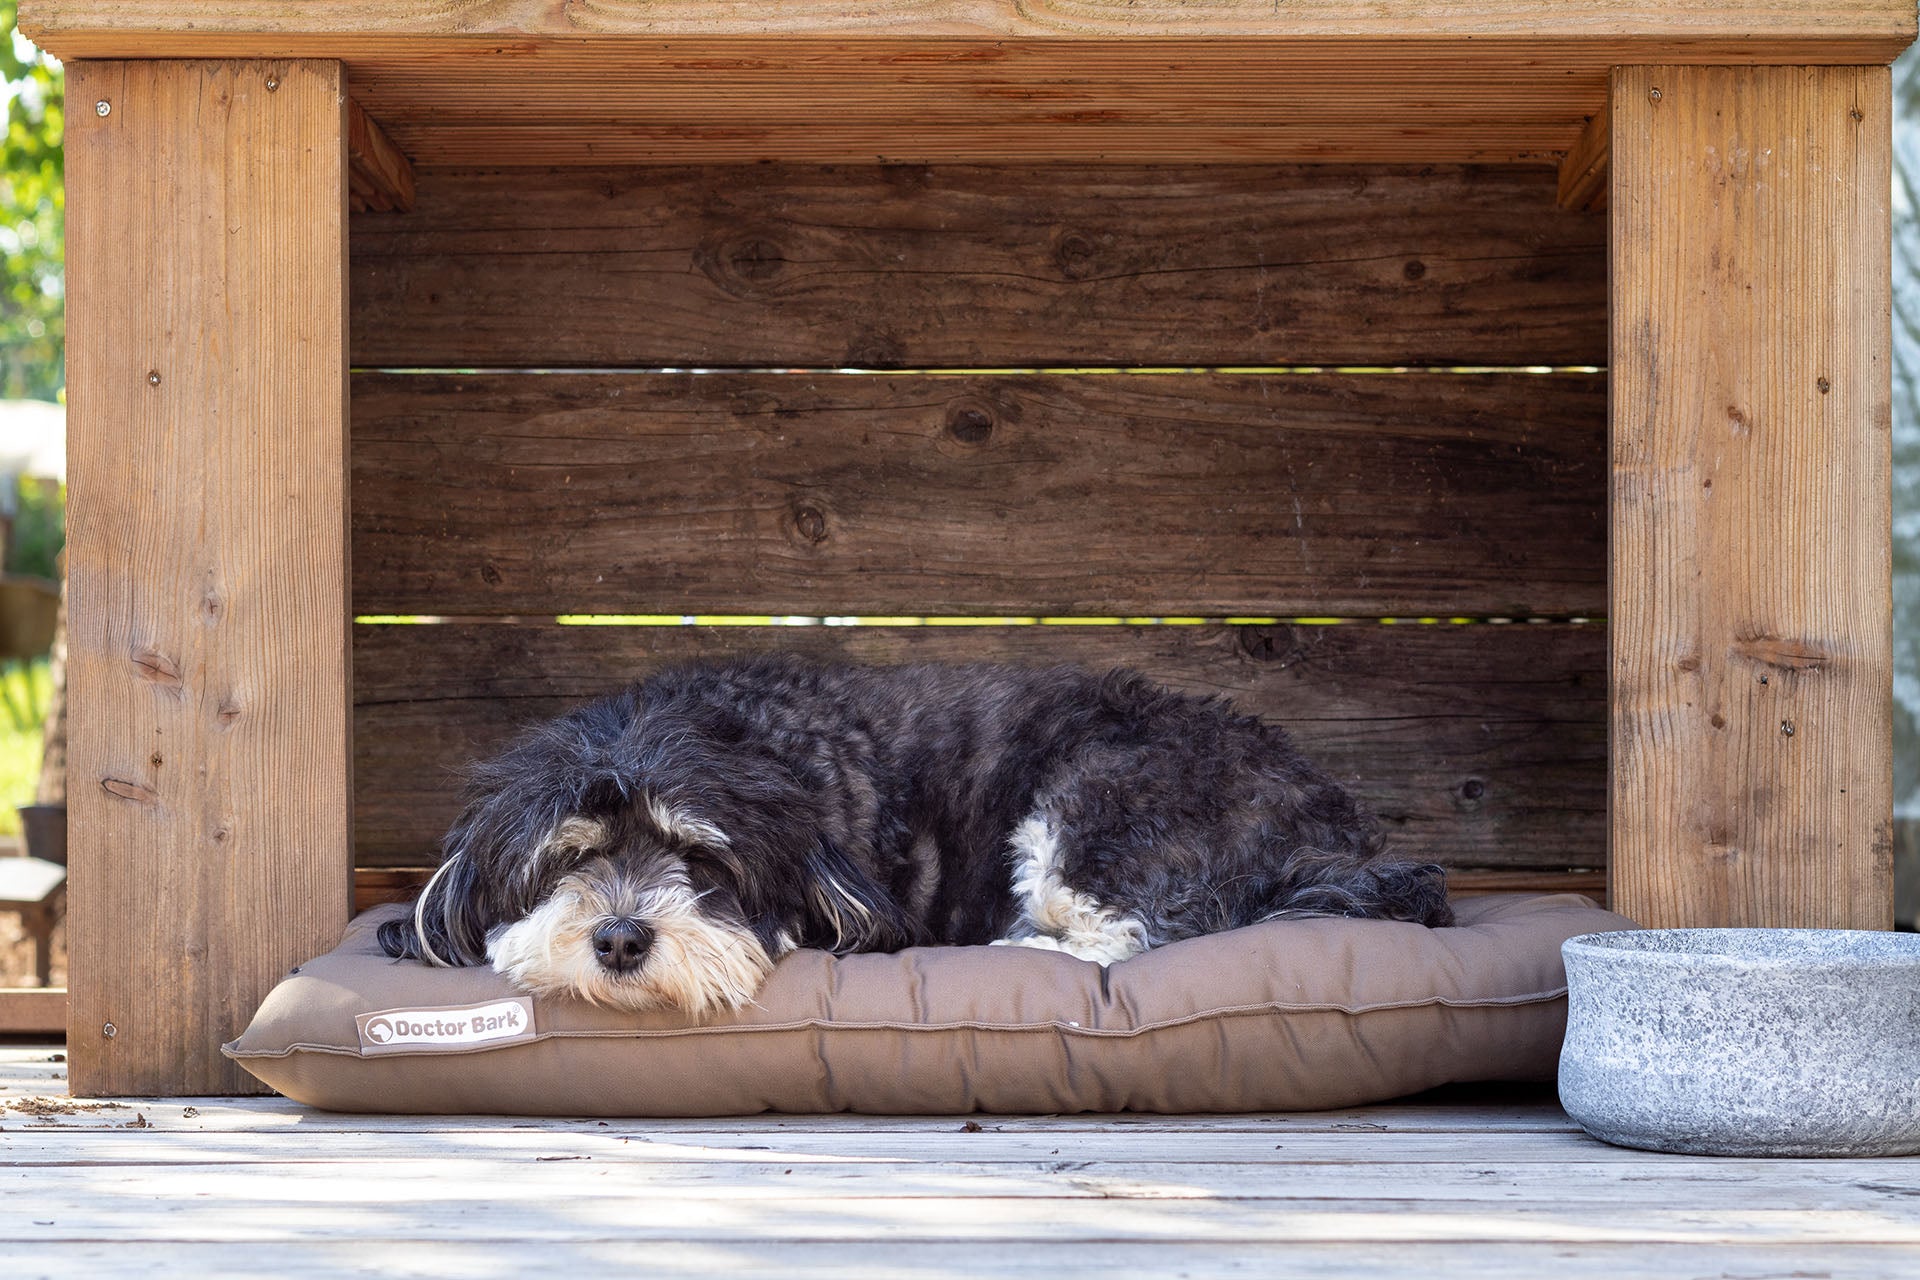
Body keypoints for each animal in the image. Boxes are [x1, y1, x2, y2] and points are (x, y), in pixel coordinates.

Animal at [378, 656, 1451, 1013]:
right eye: (568, 858)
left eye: (701, 859)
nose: (620, 939)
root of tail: (1334, 821)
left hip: (1099, 802)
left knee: (1133, 933)